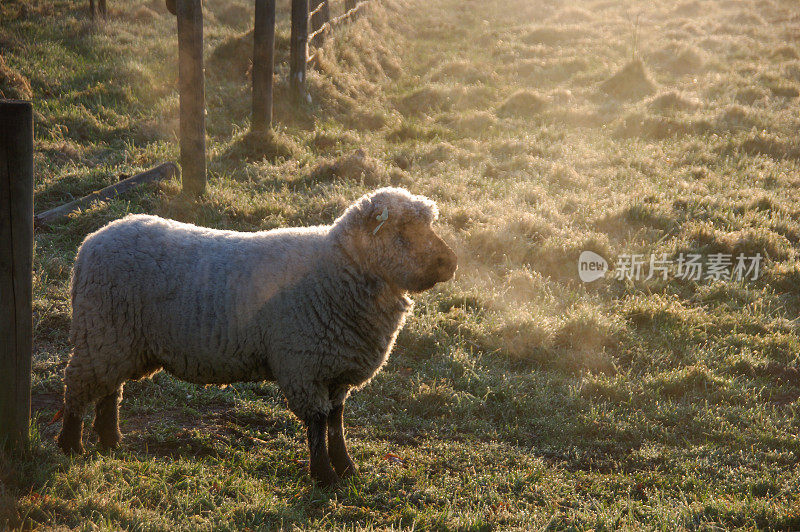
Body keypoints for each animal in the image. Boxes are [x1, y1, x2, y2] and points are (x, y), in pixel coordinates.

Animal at [56, 187, 456, 486]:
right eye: (404, 232)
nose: (451, 264)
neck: (339, 270)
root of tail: (90, 242)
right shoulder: (304, 366)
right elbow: (317, 423)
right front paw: (324, 477)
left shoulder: (336, 369)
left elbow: (336, 422)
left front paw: (346, 468)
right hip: (101, 331)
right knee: (79, 386)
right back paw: (71, 446)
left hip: (119, 341)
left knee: (110, 389)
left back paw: (110, 441)